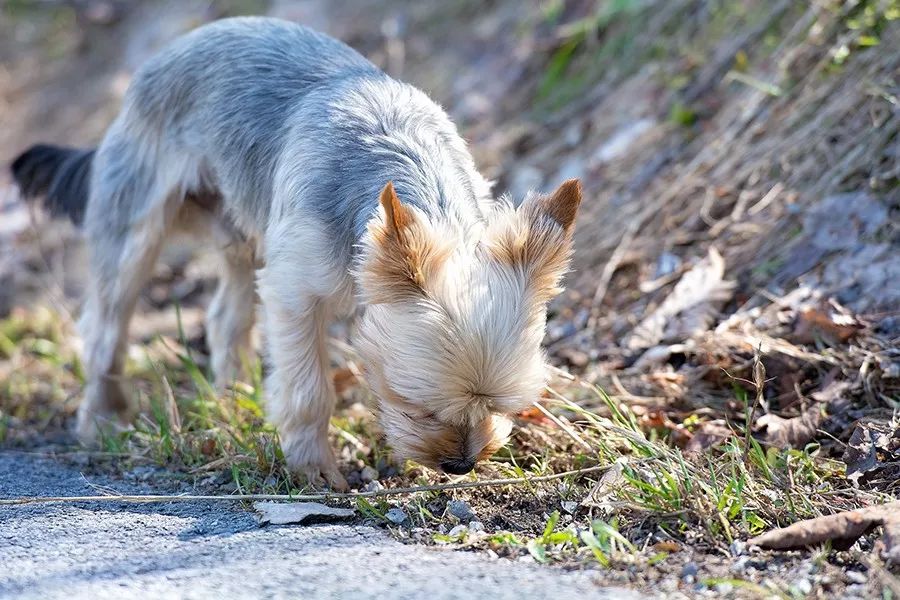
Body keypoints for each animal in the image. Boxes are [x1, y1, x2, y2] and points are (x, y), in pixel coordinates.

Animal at [12, 17, 584, 492]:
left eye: (504, 406)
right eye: (417, 404)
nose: (461, 465)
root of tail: (169, 51)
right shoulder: (295, 293)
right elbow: (309, 388)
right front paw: (314, 468)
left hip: (241, 228)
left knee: (224, 316)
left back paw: (231, 401)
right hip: (135, 223)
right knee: (107, 325)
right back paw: (102, 418)